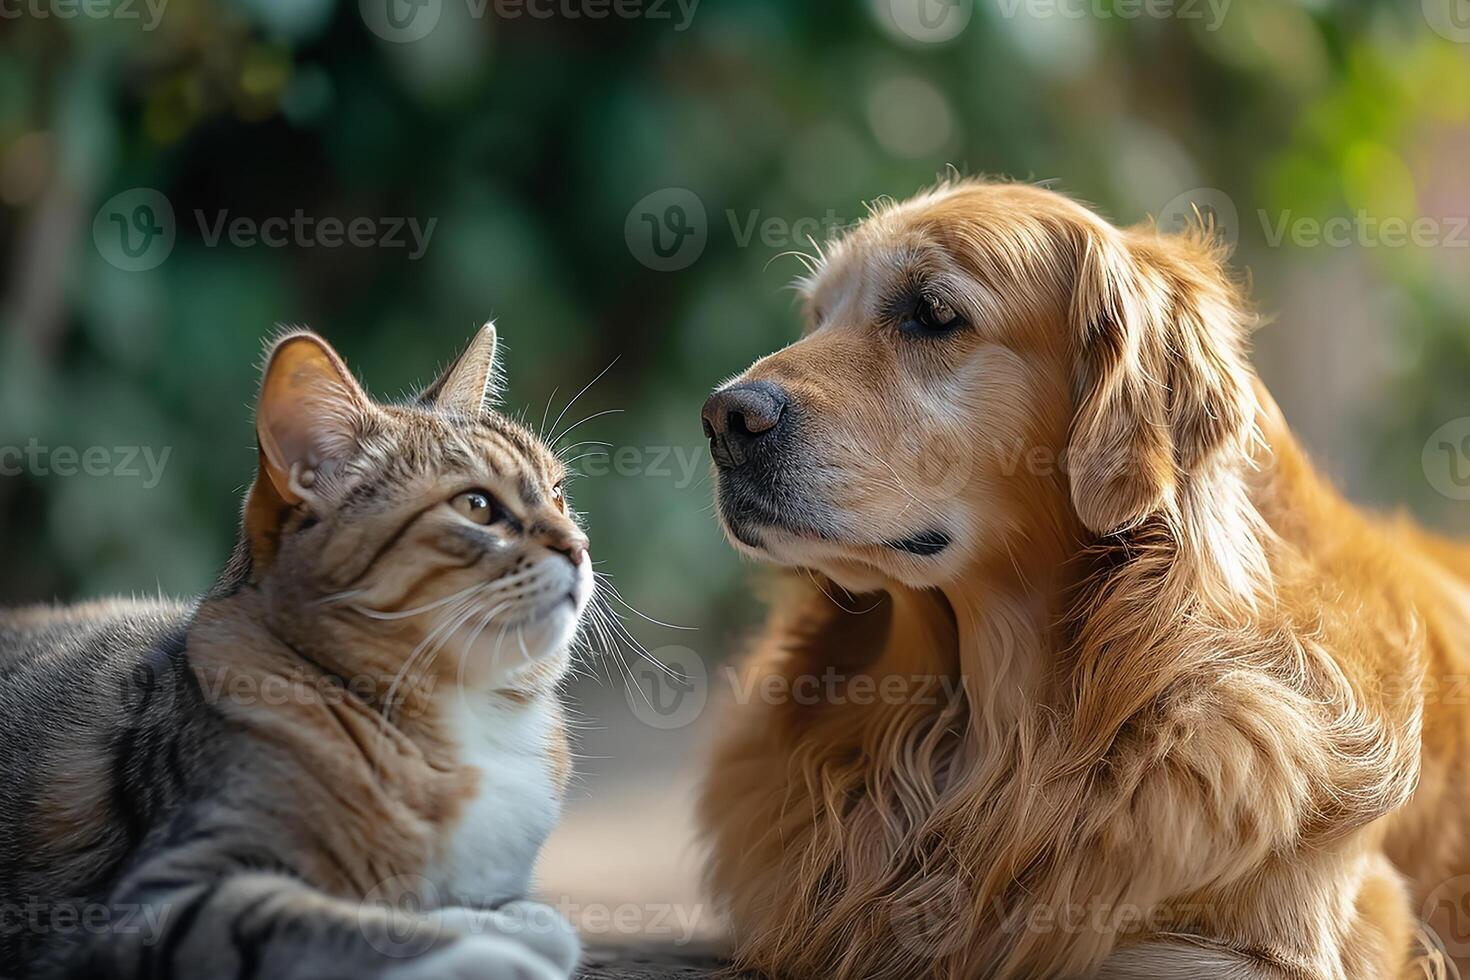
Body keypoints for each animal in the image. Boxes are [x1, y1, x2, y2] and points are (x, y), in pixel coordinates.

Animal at [4, 326, 596, 975]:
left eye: (559, 494)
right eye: (477, 507)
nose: (579, 546)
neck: (471, 716)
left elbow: (520, 917)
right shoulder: (153, 903)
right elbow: (334, 922)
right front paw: (489, 953)